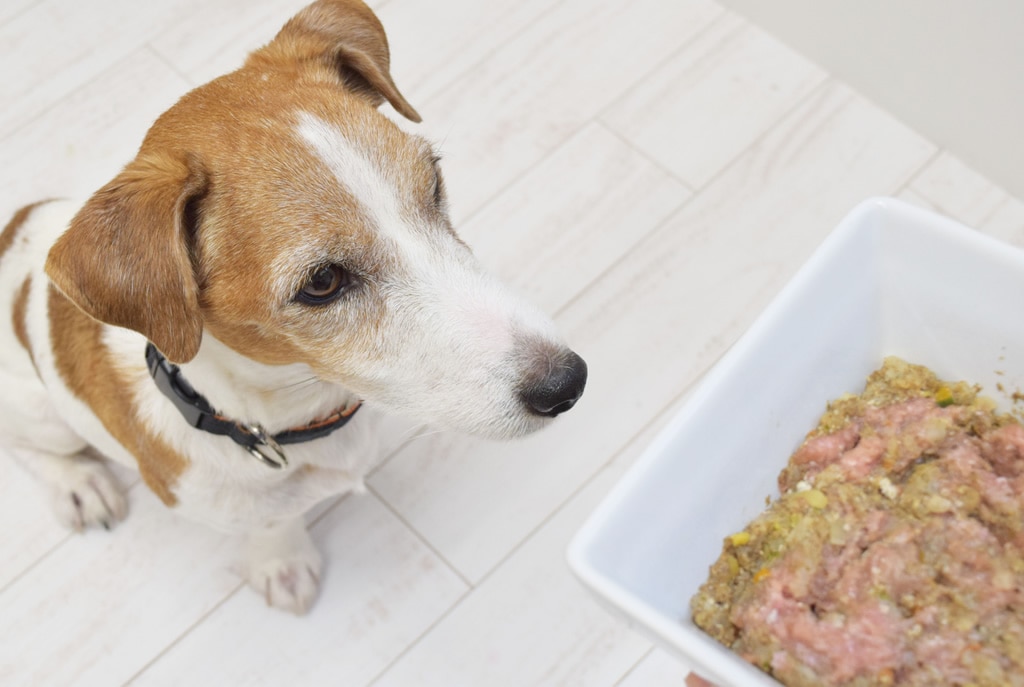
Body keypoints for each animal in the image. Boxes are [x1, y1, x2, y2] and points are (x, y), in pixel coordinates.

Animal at [0, 0, 586, 614]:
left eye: (434, 182)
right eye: (323, 281)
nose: (568, 383)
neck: (294, 413)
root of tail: (16, 226)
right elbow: (269, 524)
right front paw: (282, 561)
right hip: (42, 415)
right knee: (22, 446)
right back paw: (78, 485)